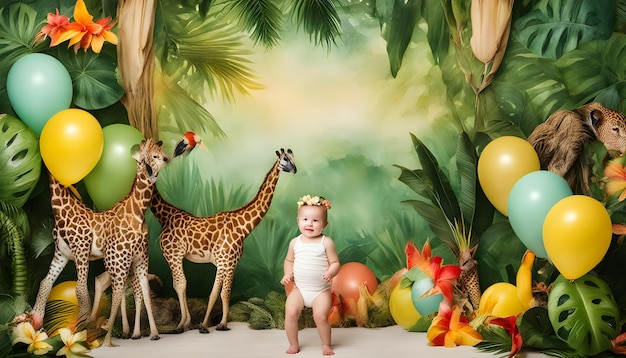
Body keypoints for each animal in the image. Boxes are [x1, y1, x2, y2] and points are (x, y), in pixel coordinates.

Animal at [30, 138, 180, 346]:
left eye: (161, 154)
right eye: (155, 156)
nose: (168, 160)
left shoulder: (136, 258)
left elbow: (139, 292)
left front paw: (152, 333)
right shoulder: (80, 254)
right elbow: (73, 288)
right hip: (100, 258)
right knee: (94, 286)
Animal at [151, 147, 298, 332]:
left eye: (293, 158)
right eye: (285, 159)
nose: (295, 169)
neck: (243, 227)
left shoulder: (227, 263)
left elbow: (218, 293)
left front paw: (213, 324)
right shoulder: (225, 262)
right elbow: (221, 293)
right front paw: (213, 325)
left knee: (181, 284)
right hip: (172, 255)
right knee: (180, 284)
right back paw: (181, 324)